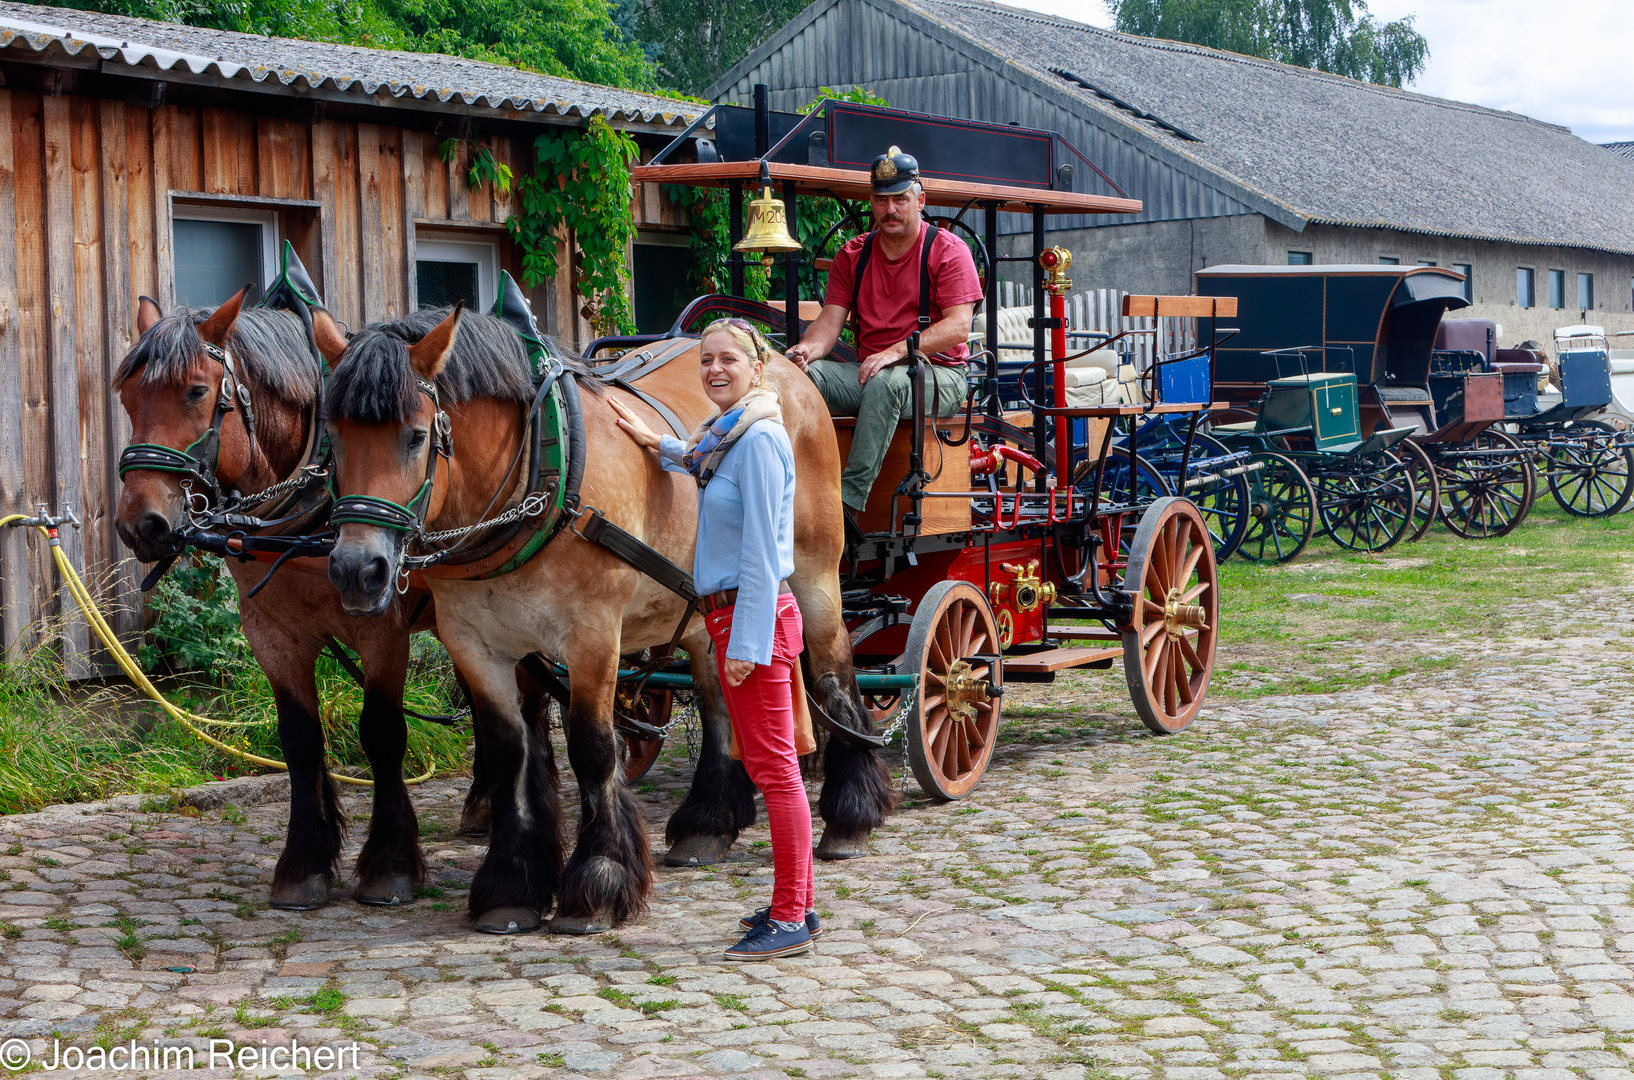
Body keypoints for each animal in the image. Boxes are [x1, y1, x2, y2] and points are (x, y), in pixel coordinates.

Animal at [111, 289, 542, 908]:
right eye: (127, 396)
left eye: (195, 390)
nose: (140, 525)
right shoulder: (271, 633)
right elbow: (299, 739)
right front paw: (305, 863)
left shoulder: (381, 629)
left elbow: (382, 734)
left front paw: (389, 864)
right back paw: (484, 806)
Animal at [310, 305, 888, 934]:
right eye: (332, 440)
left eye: (416, 437)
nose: (356, 570)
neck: (539, 481)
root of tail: (789, 370)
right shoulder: (474, 643)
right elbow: (508, 751)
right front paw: (511, 883)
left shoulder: (591, 636)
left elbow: (592, 748)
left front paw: (599, 880)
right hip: (706, 606)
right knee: (718, 700)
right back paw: (708, 822)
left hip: (814, 573)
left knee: (834, 671)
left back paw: (851, 814)